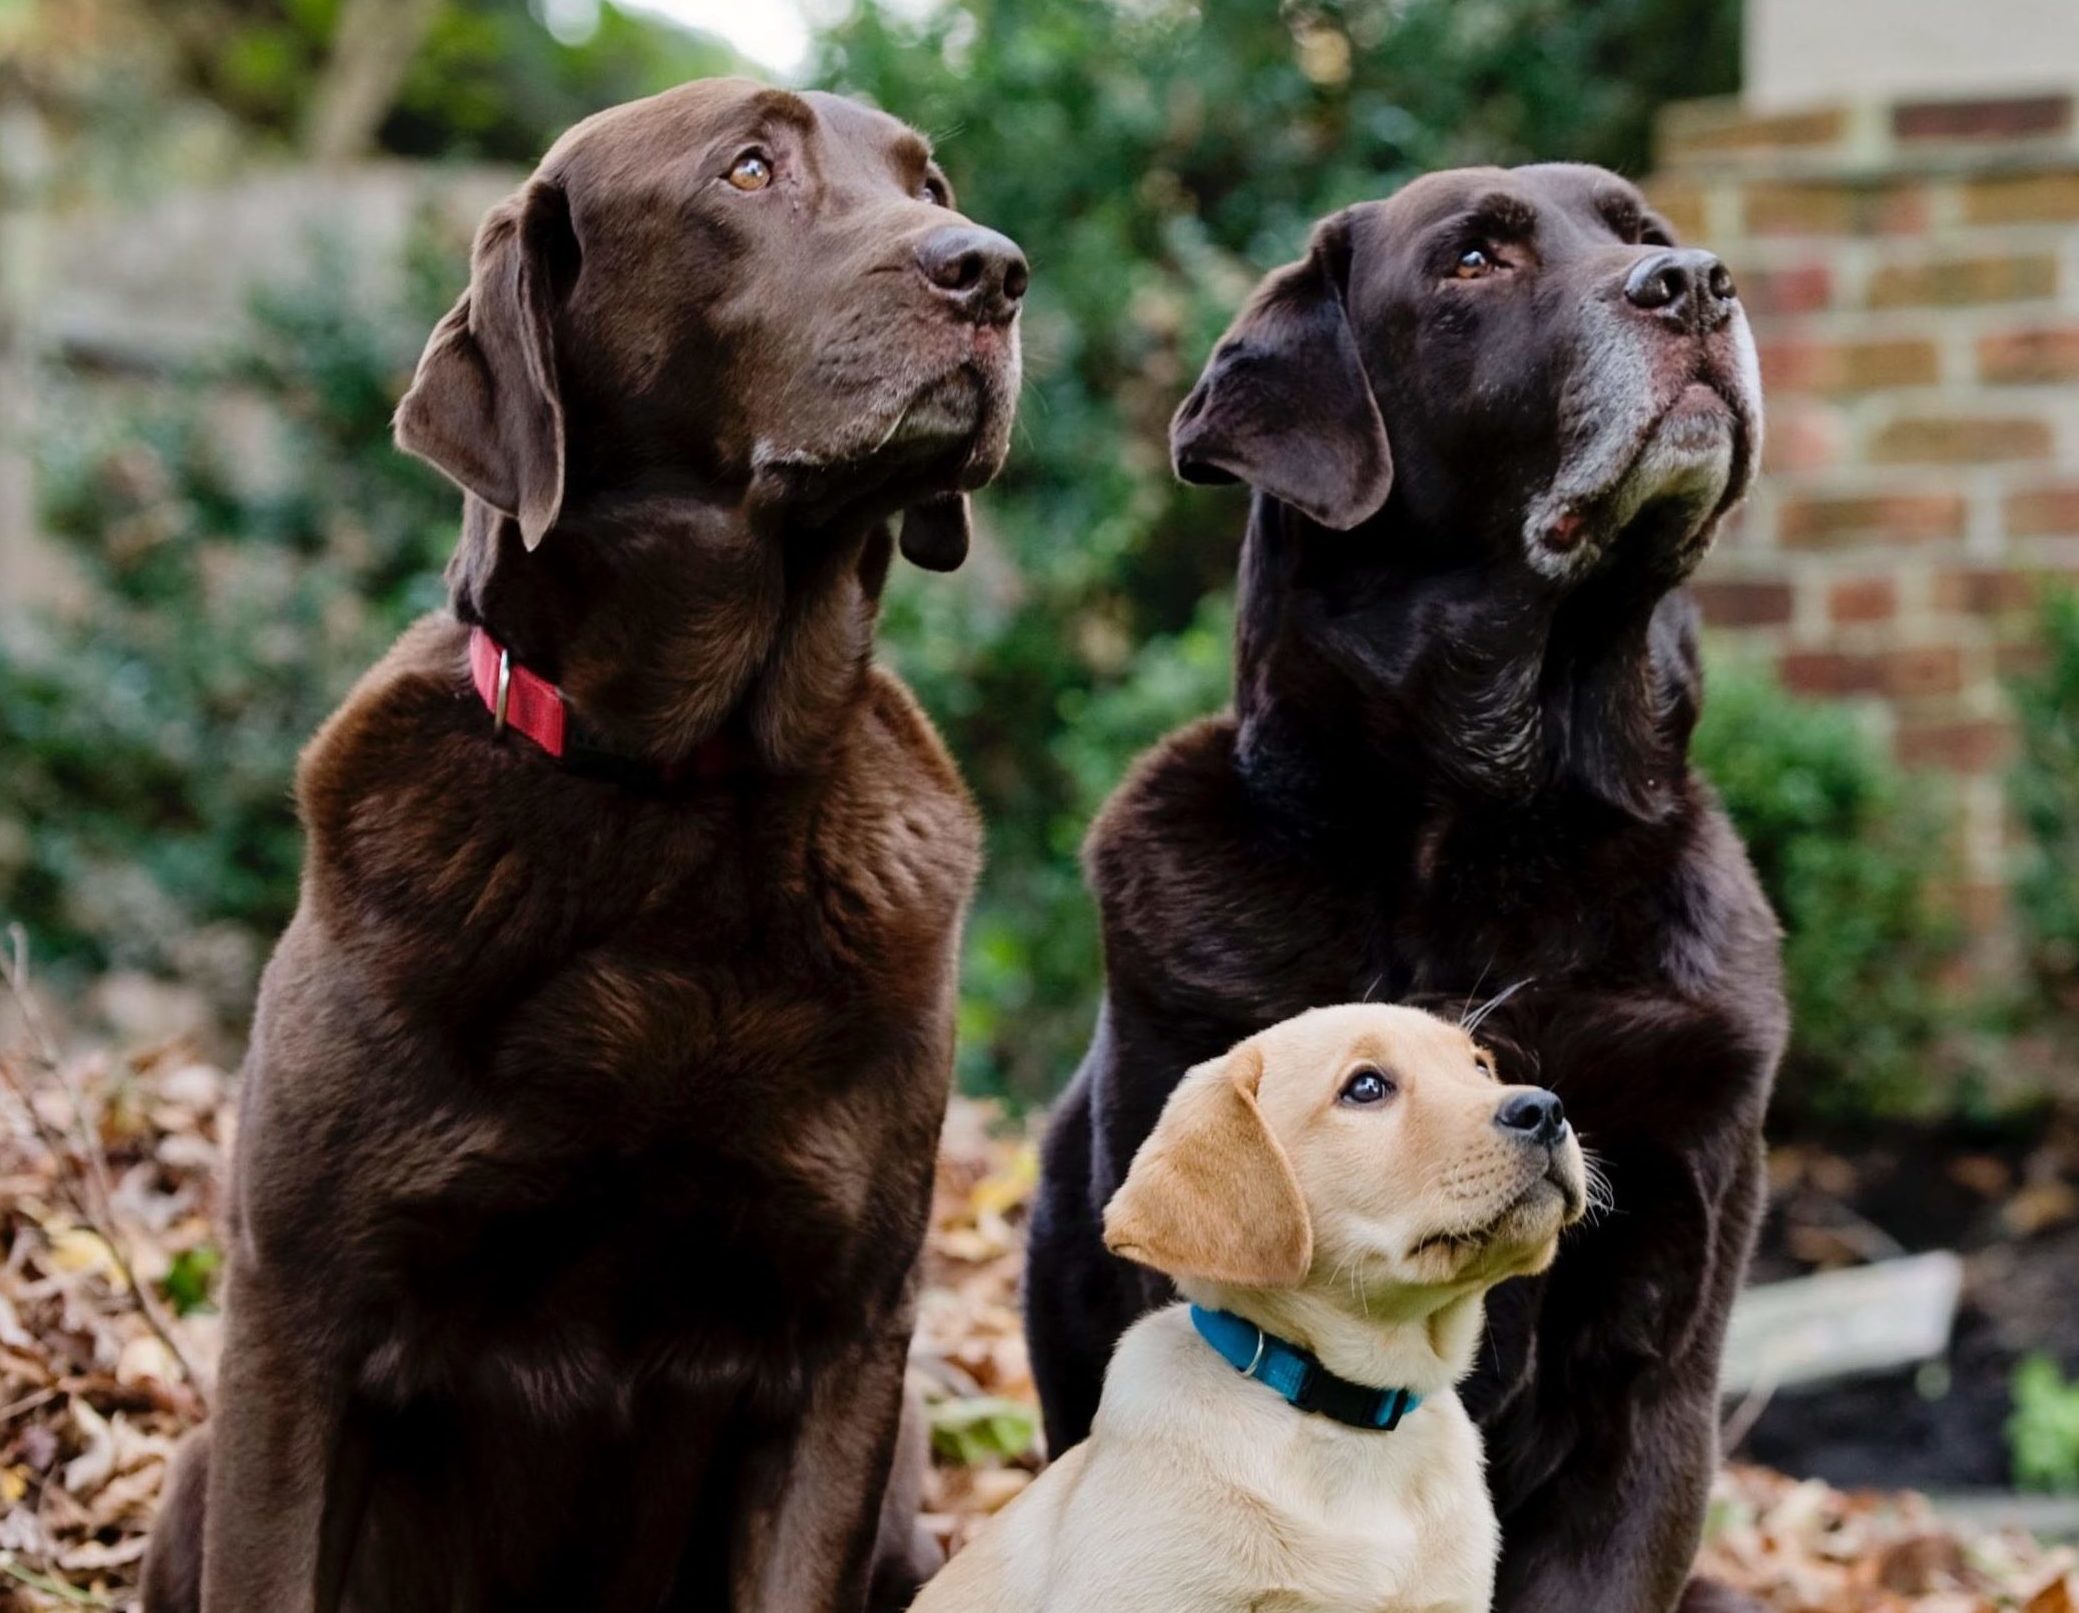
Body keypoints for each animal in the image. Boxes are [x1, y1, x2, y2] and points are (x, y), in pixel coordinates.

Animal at [138, 75, 1031, 1613]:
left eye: (930, 182)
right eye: (750, 168)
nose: (992, 268)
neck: (674, 782)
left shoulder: (847, 1344)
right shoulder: (298, 1315)